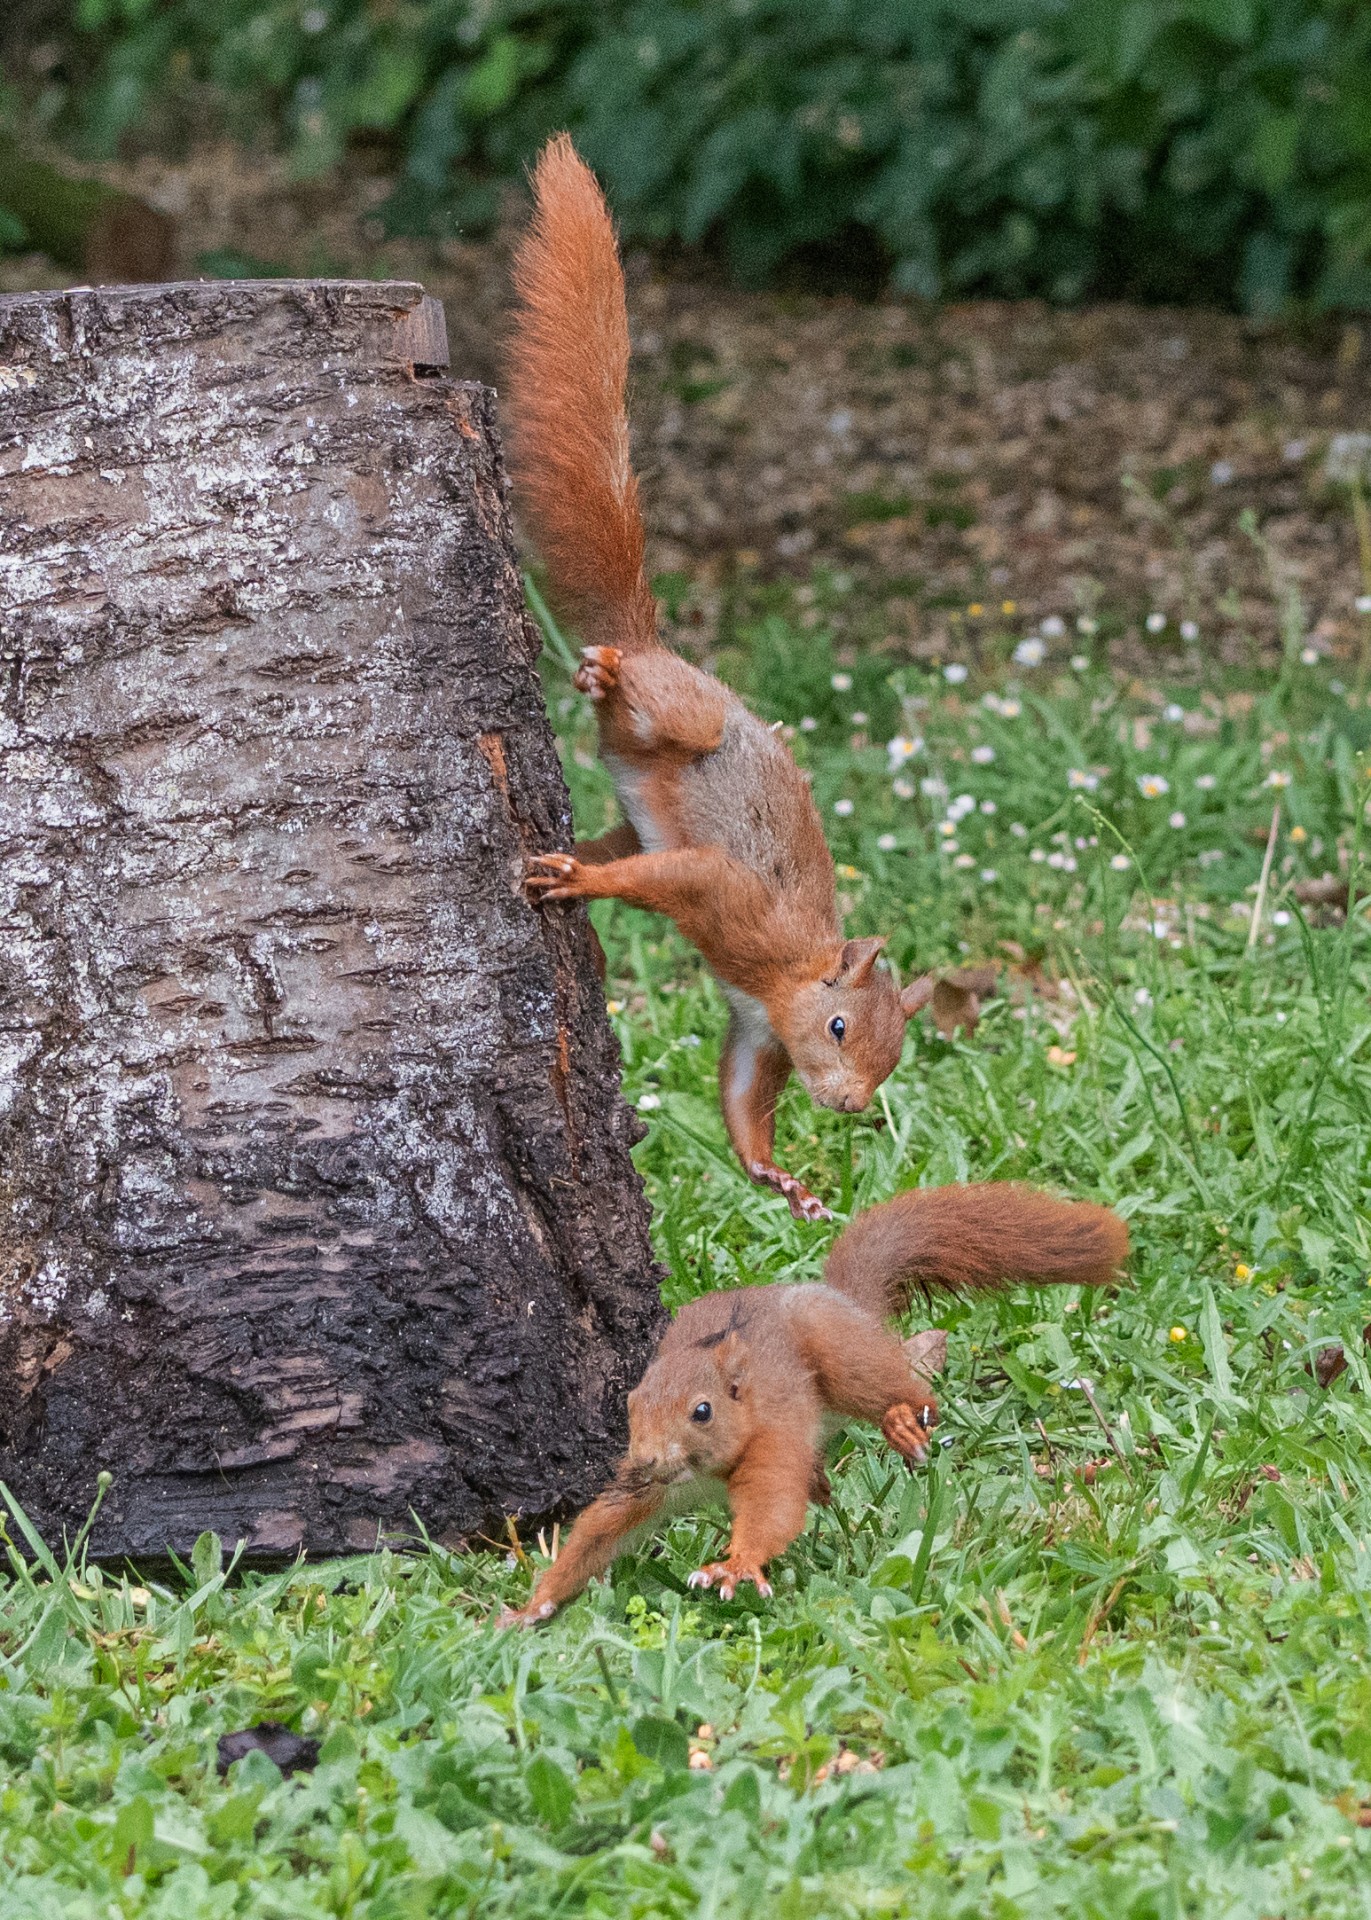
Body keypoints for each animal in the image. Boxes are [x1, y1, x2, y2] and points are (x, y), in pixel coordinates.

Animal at [495, 1182, 1129, 1620]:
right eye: (630, 1407)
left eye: (702, 1410)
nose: (648, 1458)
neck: (702, 1473)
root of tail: (844, 1303)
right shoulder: (645, 1488)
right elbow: (598, 1535)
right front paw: (535, 1606)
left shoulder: (772, 1439)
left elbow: (772, 1508)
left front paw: (736, 1565)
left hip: (842, 1355)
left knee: (901, 1389)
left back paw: (899, 1421)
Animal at [503, 135, 940, 1221]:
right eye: (840, 1028)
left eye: (896, 1056)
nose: (848, 1107)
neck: (792, 974)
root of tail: (654, 643)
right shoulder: (731, 905)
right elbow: (675, 879)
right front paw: (584, 884)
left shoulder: (749, 1025)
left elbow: (741, 1093)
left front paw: (778, 1178)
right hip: (687, 712)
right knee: (661, 711)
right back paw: (609, 671)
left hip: (634, 792)